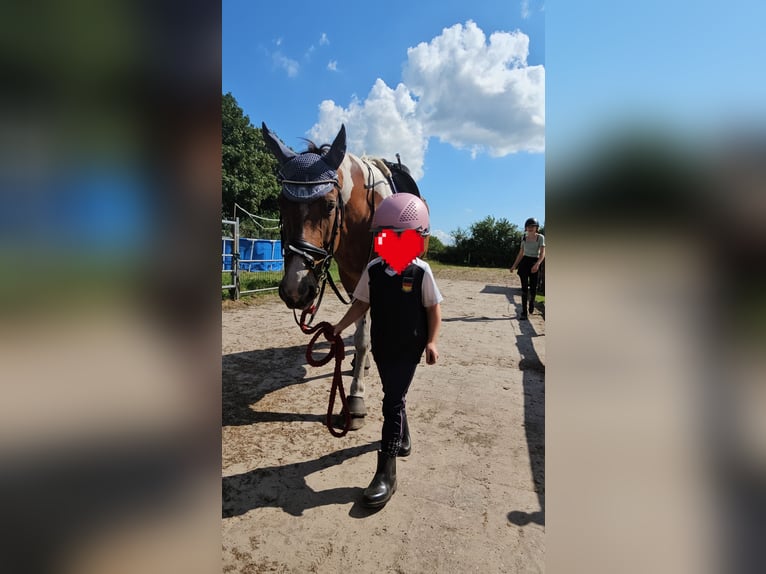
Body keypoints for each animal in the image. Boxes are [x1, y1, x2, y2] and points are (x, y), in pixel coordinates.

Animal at [262, 124, 416, 432]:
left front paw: (356, 399)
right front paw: (359, 377)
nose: (296, 289)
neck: (366, 219)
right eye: (281, 204)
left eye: (330, 205)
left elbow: (368, 335)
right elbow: (360, 332)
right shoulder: (352, 279)